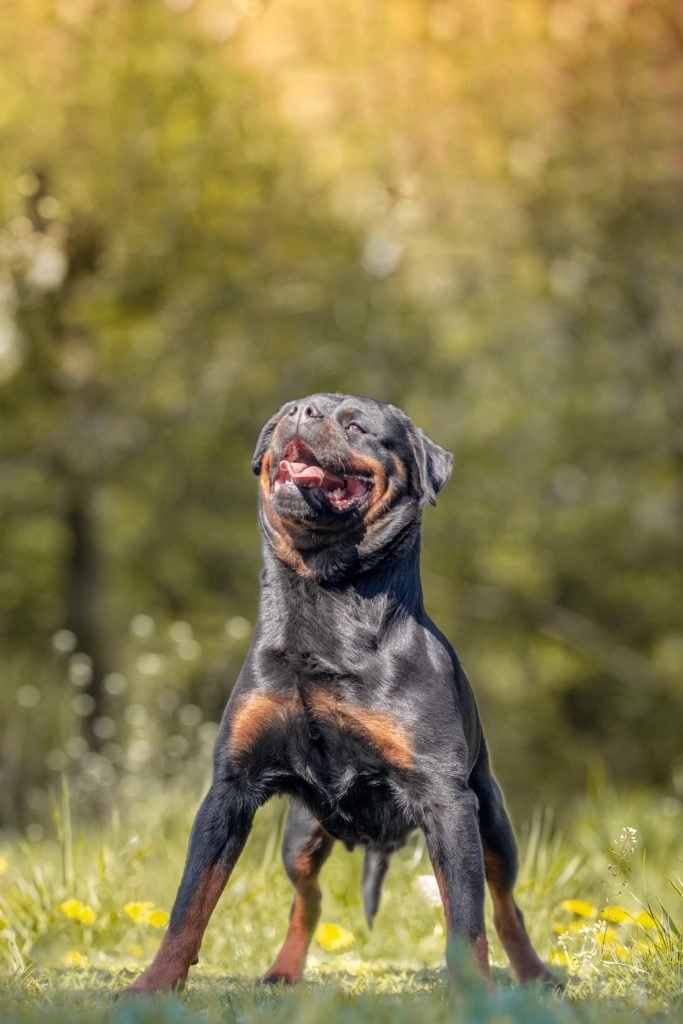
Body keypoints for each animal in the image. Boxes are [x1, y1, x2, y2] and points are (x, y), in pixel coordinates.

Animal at [126, 391, 557, 991]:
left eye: (356, 426)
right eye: (287, 412)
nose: (300, 412)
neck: (324, 596)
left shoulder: (447, 800)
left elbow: (467, 922)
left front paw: (476, 993)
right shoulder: (230, 789)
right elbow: (189, 904)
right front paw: (153, 984)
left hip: (492, 821)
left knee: (504, 903)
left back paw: (536, 974)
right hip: (300, 837)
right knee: (308, 900)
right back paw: (283, 970)